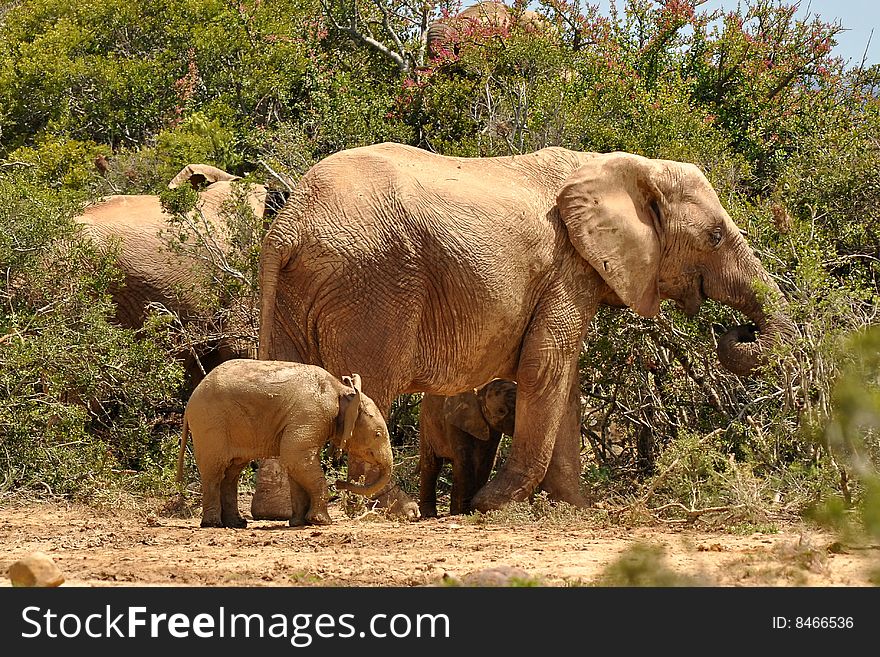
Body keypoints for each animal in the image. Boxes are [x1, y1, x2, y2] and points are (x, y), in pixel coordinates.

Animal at [177, 358, 394, 528]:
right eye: (377, 434)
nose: (339, 483)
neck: (341, 390)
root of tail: (191, 400)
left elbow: (297, 463)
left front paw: (299, 523)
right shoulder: (311, 414)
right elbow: (296, 458)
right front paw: (321, 522)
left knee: (232, 472)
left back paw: (237, 524)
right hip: (210, 424)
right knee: (215, 470)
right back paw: (213, 524)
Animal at [418, 380, 516, 516]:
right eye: (501, 411)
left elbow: (486, 461)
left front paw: (472, 509)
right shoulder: (454, 419)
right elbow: (466, 459)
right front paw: (466, 511)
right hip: (426, 422)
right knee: (432, 465)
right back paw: (430, 514)